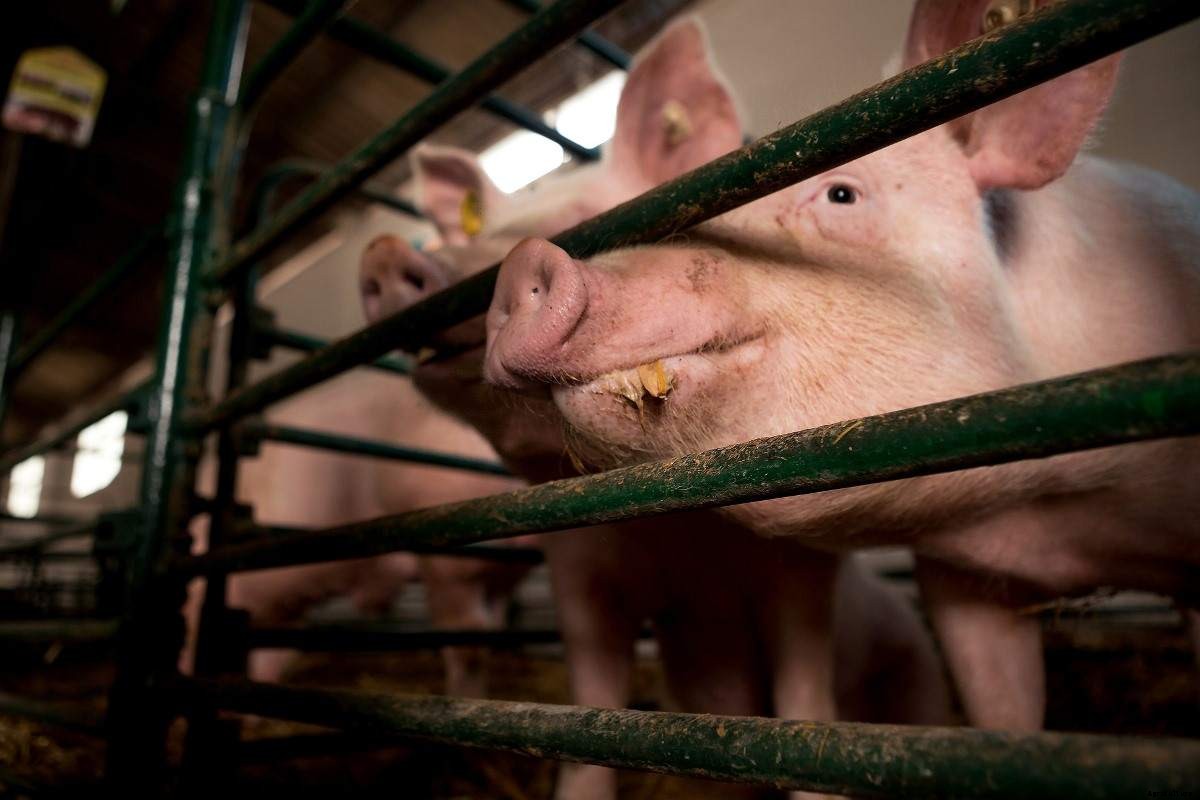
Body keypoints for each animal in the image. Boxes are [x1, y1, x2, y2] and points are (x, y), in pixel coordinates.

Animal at [363, 19, 952, 799]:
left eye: (595, 223)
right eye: (472, 234)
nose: (383, 251)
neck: (678, 537)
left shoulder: (798, 568)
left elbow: (805, 698)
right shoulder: (578, 574)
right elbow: (588, 710)